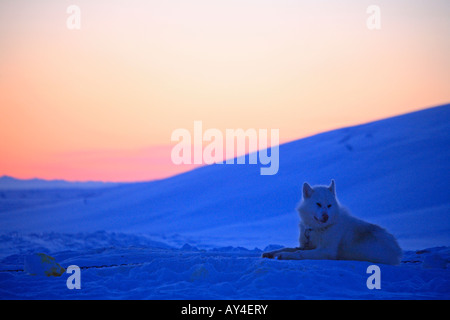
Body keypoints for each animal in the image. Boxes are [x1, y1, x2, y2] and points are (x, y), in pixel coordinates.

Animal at [262, 180, 402, 264]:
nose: (326, 217)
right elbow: (288, 248)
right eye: (318, 204)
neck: (317, 229)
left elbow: (299, 253)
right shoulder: (306, 245)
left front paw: (285, 255)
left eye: (329, 205)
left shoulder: (325, 251)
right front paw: (271, 253)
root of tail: (397, 249)